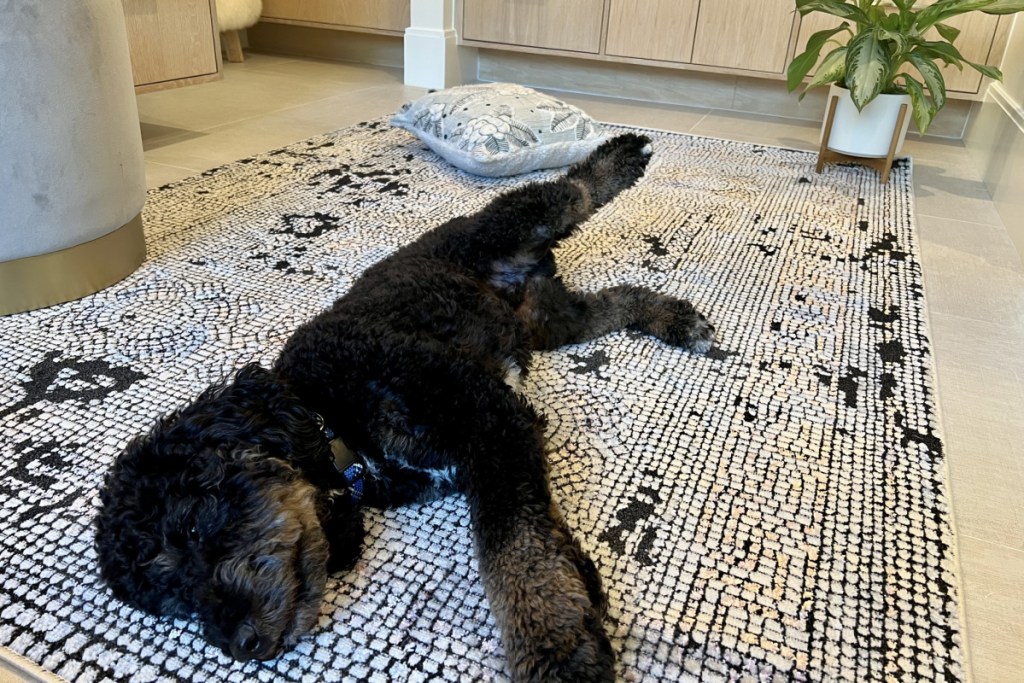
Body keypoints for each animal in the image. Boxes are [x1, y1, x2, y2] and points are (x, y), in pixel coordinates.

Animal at [97, 135, 712, 683]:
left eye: (193, 528)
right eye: (176, 602)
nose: (240, 646)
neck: (328, 416)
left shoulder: (491, 421)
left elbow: (515, 550)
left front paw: (555, 652)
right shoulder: (494, 434)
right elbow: (543, 540)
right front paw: (580, 603)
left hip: (504, 229)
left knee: (570, 192)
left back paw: (621, 157)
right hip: (548, 321)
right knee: (616, 301)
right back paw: (675, 319)